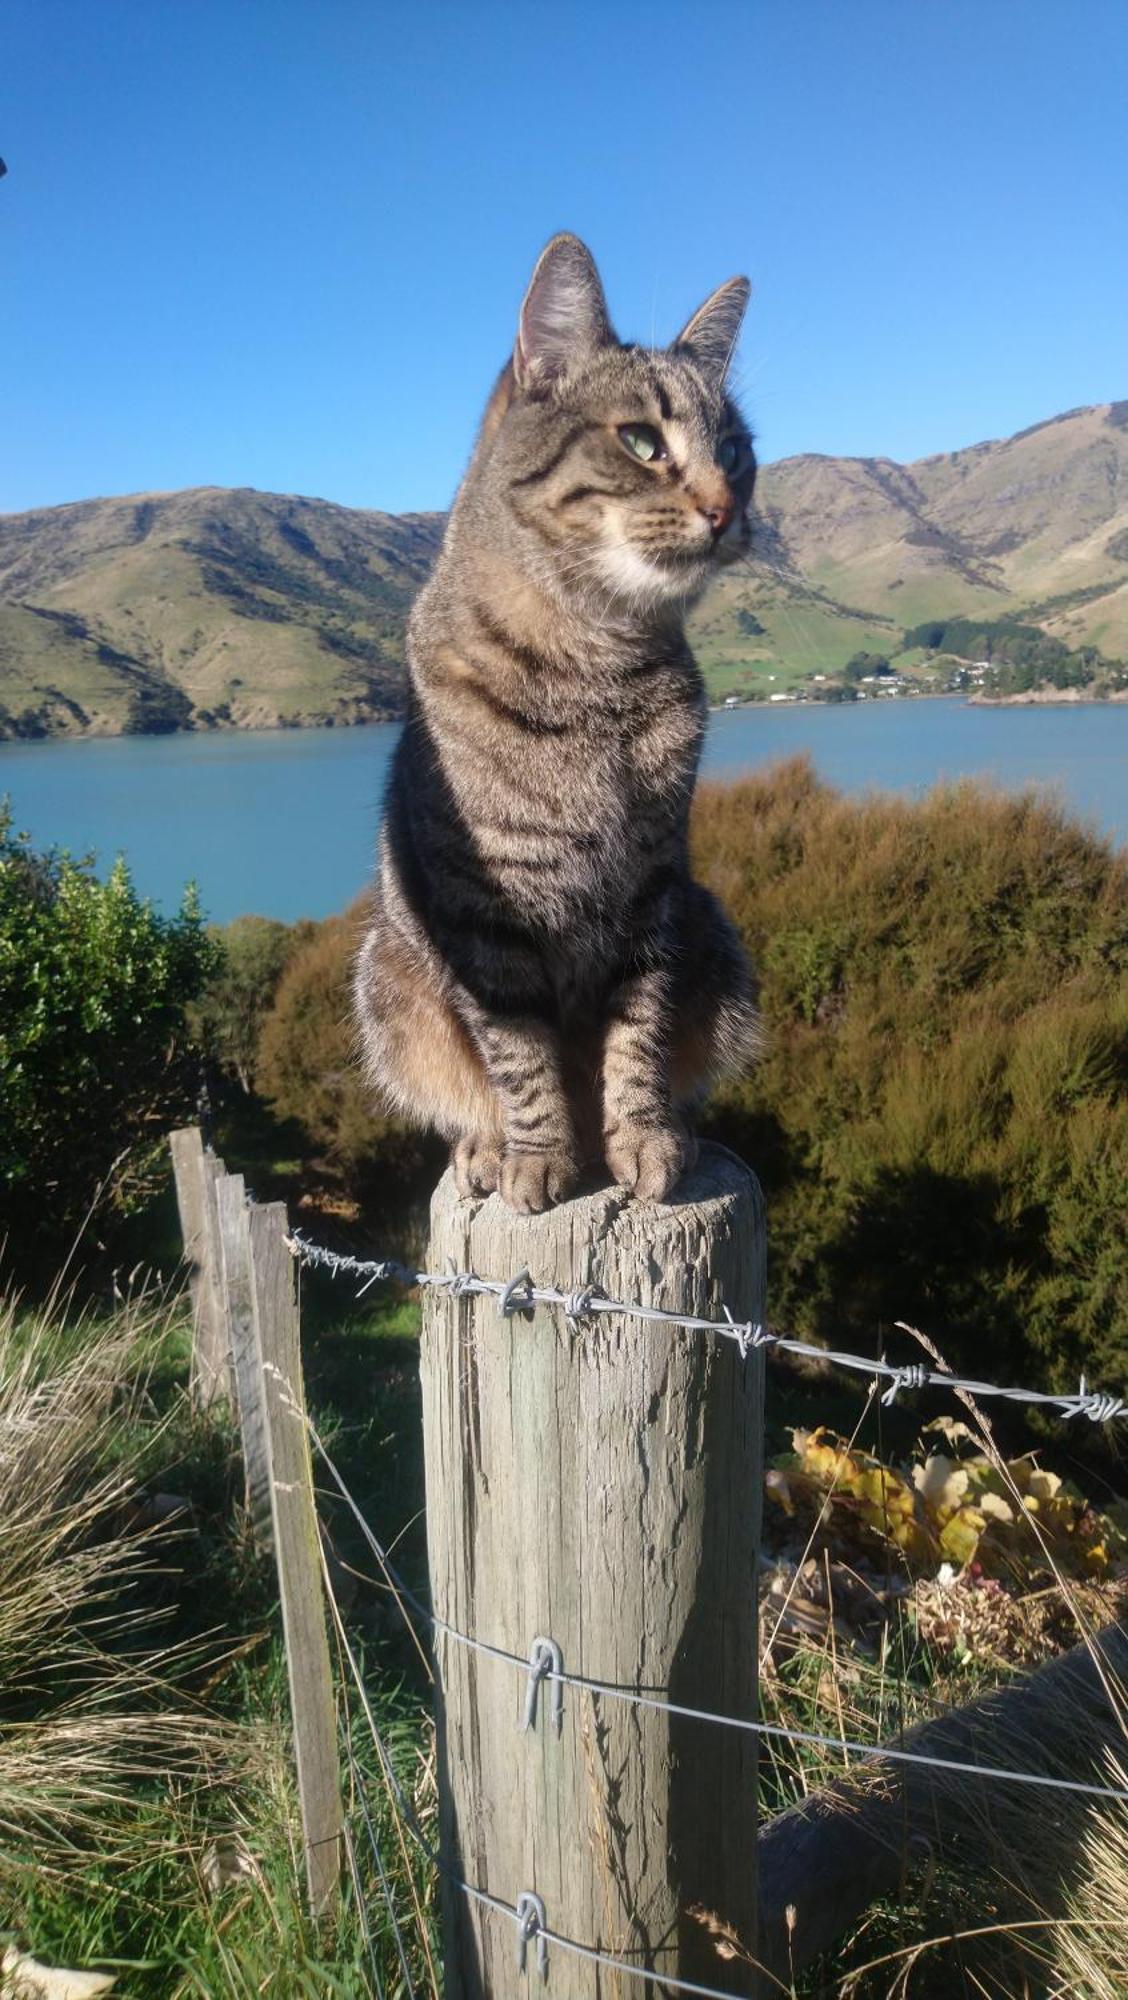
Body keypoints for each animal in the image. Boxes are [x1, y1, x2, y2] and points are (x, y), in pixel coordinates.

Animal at [354, 227, 756, 1208]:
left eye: (735, 449)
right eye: (642, 441)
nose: (729, 508)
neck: (594, 669)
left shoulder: (655, 892)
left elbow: (638, 1033)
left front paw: (641, 1134)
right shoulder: (483, 916)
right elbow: (521, 1056)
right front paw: (536, 1154)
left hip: (716, 937)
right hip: (386, 977)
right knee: (470, 1091)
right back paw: (487, 1147)